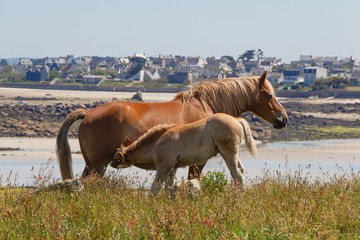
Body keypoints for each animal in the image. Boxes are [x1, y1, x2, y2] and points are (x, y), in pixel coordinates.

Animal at [56, 70, 286, 181]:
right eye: (269, 95)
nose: (283, 119)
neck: (206, 105)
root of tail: (88, 113)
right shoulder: (197, 162)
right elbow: (192, 181)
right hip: (98, 165)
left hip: (92, 164)